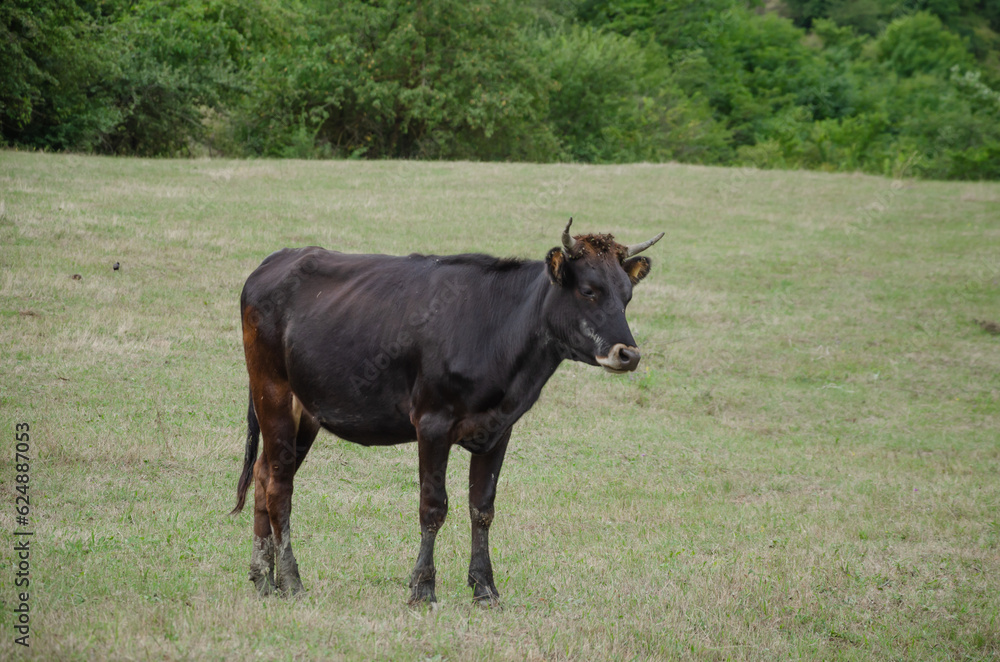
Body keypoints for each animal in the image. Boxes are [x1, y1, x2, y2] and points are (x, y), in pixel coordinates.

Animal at [229, 222, 660, 608]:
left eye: (626, 296)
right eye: (589, 291)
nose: (628, 354)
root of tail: (276, 259)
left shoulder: (499, 428)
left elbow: (482, 508)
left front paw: (485, 589)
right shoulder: (432, 423)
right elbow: (433, 507)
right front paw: (423, 588)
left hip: (305, 411)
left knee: (264, 474)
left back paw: (262, 578)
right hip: (273, 390)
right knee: (279, 487)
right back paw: (291, 581)